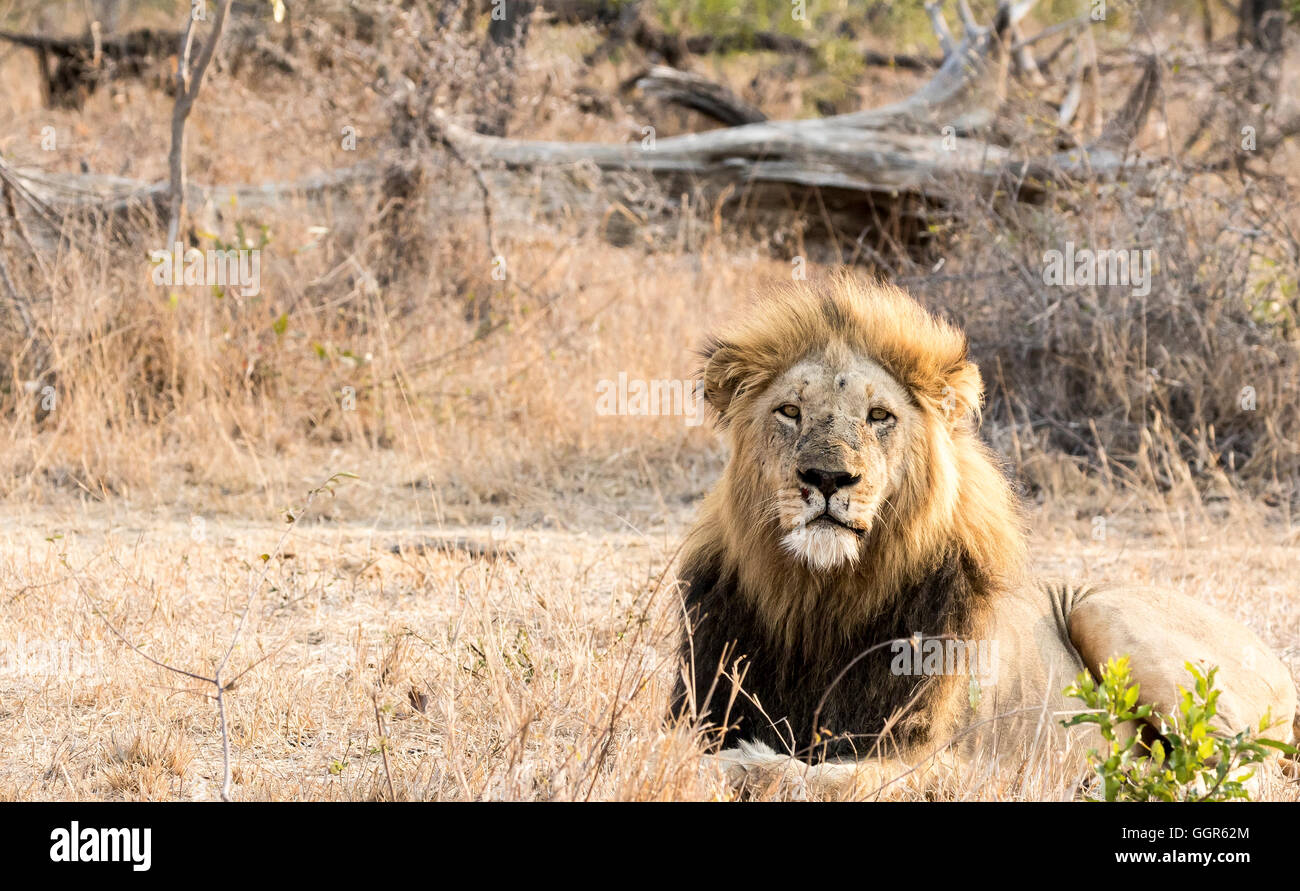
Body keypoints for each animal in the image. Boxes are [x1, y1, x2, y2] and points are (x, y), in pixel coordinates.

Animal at [676, 273, 1294, 801]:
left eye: (879, 416)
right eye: (789, 411)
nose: (827, 478)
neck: (820, 599)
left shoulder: (945, 757)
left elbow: (829, 777)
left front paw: (747, 764)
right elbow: (679, 745)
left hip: (1106, 613)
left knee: (1242, 768)